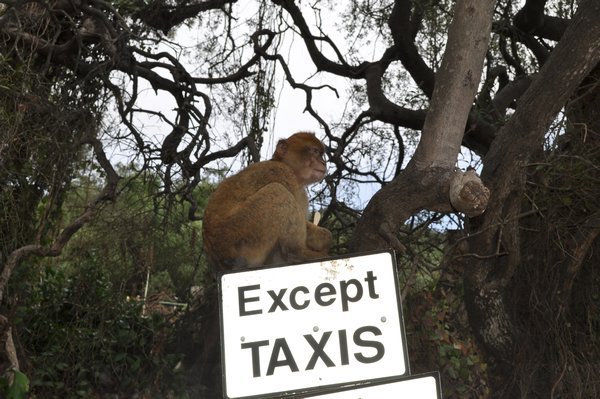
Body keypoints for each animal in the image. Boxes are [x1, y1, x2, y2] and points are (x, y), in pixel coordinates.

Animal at [202, 132, 332, 272]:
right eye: (315, 151)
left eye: (321, 154)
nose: (323, 162)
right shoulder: (284, 173)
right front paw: (324, 239)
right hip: (240, 233)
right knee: (278, 190)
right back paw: (297, 253)